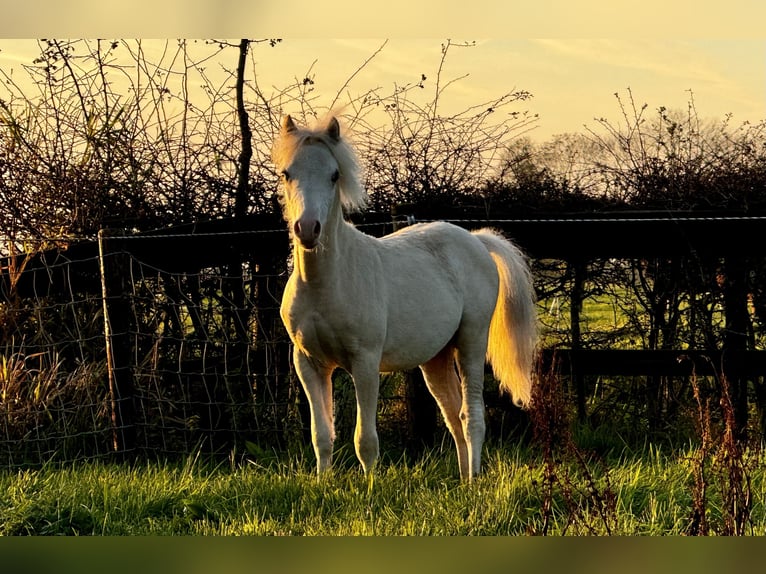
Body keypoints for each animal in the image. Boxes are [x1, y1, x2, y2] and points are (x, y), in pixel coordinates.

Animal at [272, 116, 536, 482]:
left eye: (334, 175)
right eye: (287, 173)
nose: (308, 229)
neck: (324, 285)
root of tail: (477, 241)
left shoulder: (365, 363)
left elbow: (365, 439)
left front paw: (369, 489)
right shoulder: (308, 363)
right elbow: (321, 436)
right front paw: (324, 484)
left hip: (471, 341)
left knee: (472, 417)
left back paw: (473, 482)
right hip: (436, 358)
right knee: (454, 416)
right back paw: (463, 482)